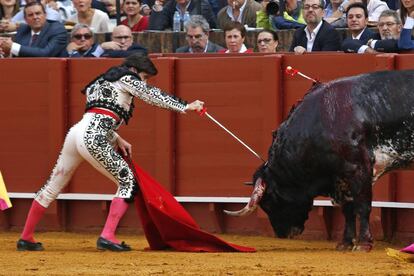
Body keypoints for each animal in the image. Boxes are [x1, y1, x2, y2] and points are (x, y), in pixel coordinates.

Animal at [225, 69, 414, 252]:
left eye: (269, 202)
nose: (282, 234)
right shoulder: (341, 177)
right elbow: (348, 210)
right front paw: (345, 243)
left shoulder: (359, 169)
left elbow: (363, 206)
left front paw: (363, 244)